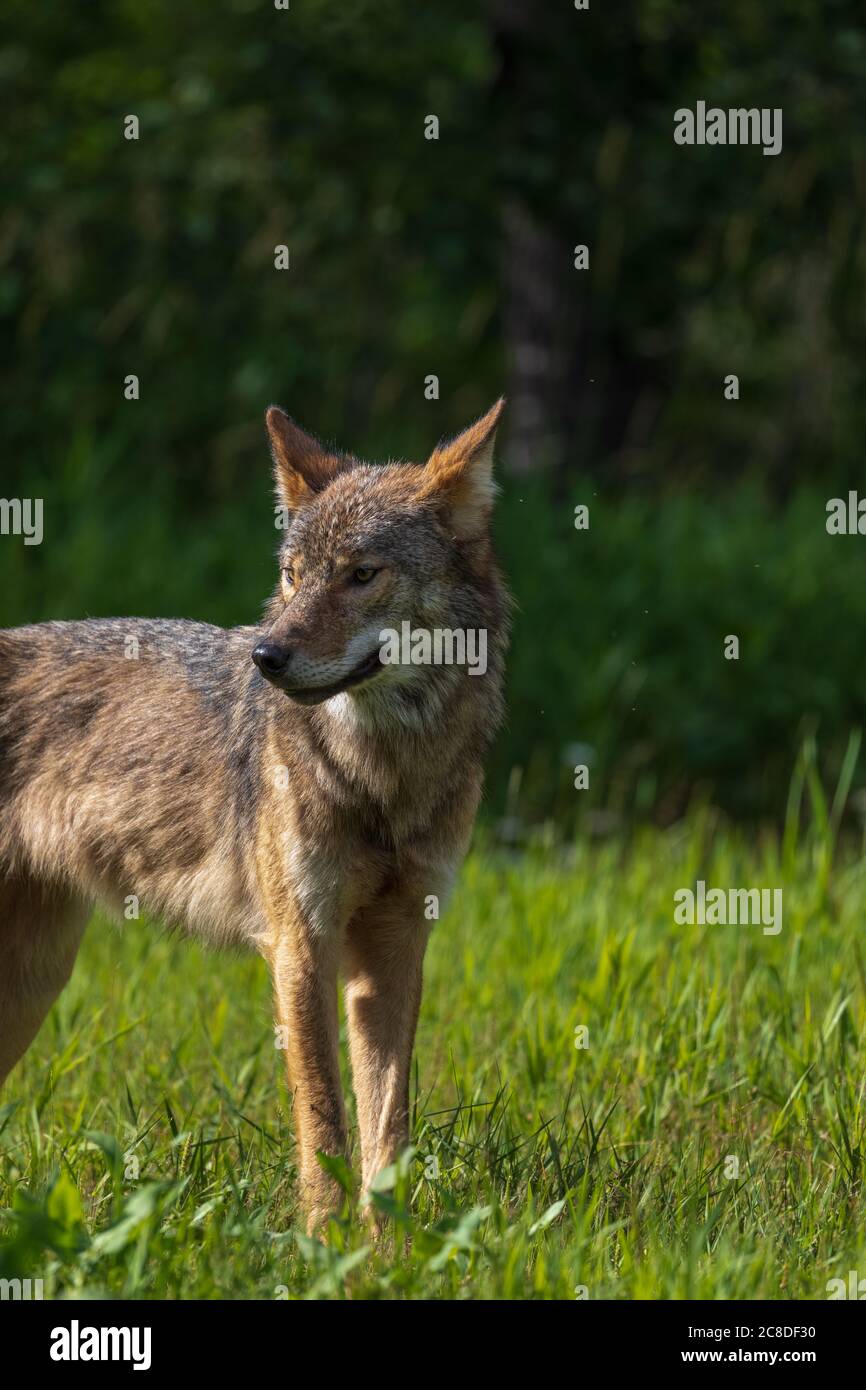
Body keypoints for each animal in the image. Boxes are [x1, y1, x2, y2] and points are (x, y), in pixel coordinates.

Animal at [0, 399, 508, 1229]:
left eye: (361, 574)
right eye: (293, 577)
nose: (265, 658)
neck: (380, 776)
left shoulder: (397, 948)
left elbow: (386, 1128)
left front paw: (389, 1245)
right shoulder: (300, 946)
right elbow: (324, 1120)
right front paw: (323, 1238)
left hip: (33, 981)